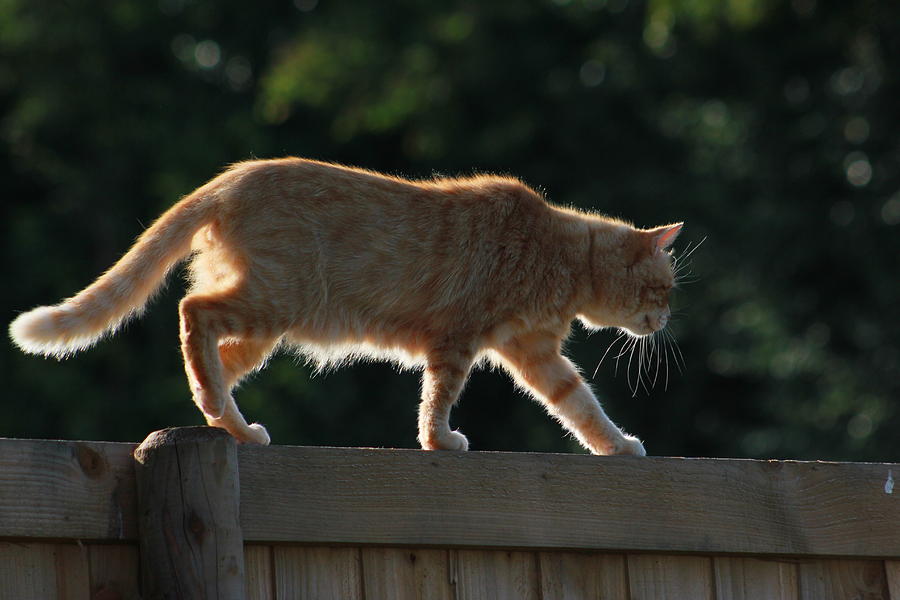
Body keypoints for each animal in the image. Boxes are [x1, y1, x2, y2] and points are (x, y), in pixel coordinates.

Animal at [8, 159, 684, 454]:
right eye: (664, 290)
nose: (665, 320)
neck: (558, 253)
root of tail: (230, 178)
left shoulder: (536, 354)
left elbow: (581, 406)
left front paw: (617, 444)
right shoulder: (457, 342)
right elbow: (438, 398)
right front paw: (439, 440)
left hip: (264, 326)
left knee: (211, 360)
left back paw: (227, 420)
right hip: (274, 300)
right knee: (193, 313)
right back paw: (224, 414)